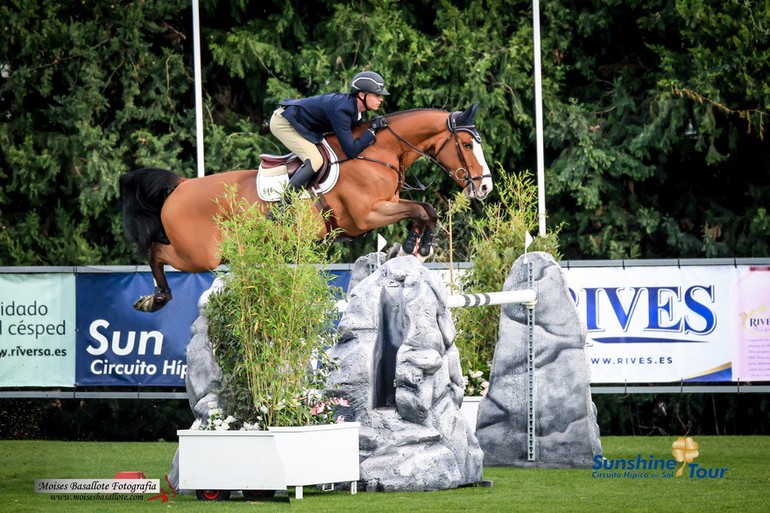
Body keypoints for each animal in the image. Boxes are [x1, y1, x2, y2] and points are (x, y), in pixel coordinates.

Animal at [120, 102, 492, 310]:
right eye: (466, 144)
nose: (485, 186)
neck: (376, 151)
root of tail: (182, 186)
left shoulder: (388, 203)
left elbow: (425, 209)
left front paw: (413, 245)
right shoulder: (367, 215)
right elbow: (422, 209)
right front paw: (419, 246)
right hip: (198, 254)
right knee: (155, 251)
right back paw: (155, 299)